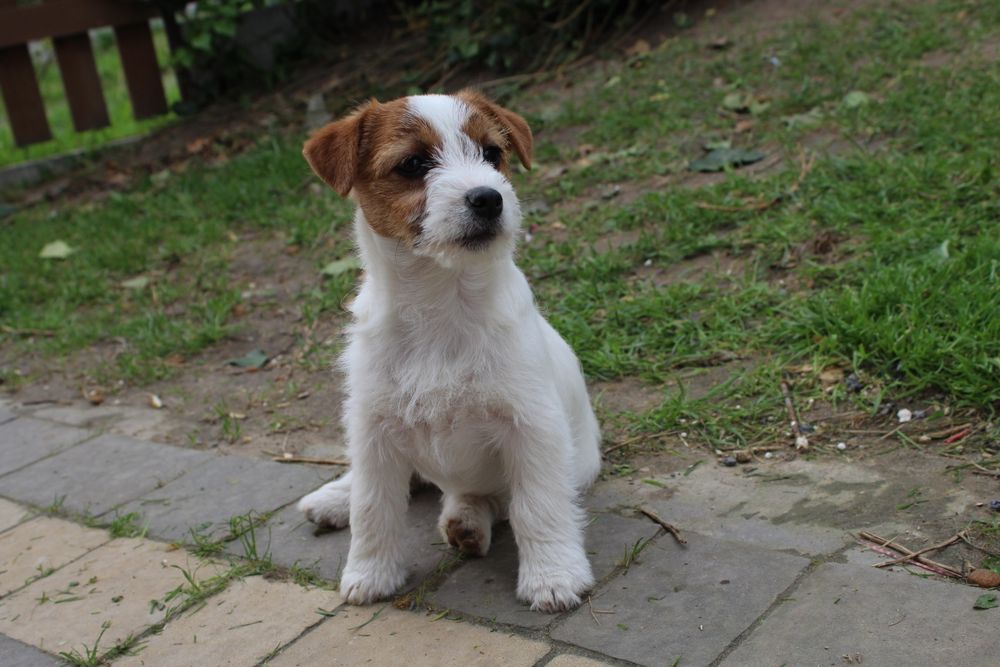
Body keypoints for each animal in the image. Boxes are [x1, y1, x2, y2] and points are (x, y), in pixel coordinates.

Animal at [292, 91, 596, 612]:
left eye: (492, 154)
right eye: (413, 164)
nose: (488, 197)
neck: (442, 303)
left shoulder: (532, 426)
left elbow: (537, 504)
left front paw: (554, 577)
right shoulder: (373, 426)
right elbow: (372, 506)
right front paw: (370, 573)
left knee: (482, 496)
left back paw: (466, 522)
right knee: (378, 481)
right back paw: (332, 499)